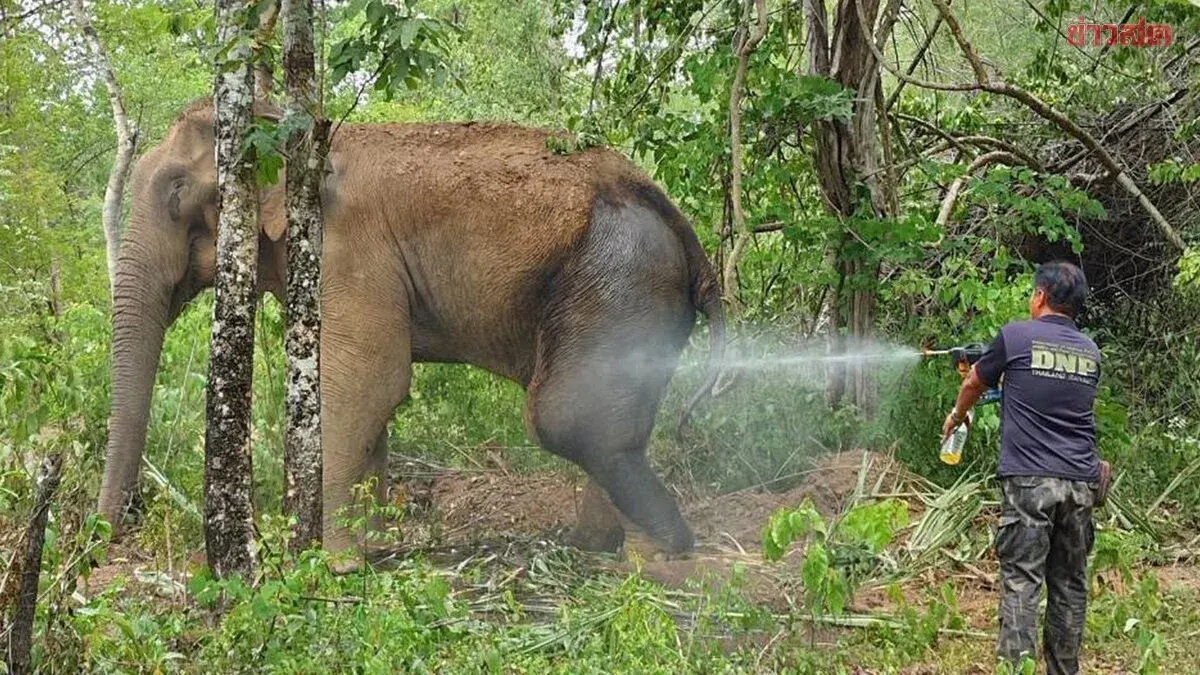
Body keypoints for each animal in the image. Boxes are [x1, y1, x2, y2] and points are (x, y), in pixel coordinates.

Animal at [96, 97, 726, 557]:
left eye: (177, 191)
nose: (108, 540)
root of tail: (687, 233)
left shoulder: (350, 251)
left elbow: (368, 380)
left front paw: (330, 566)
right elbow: (367, 397)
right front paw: (373, 551)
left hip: (620, 278)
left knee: (568, 417)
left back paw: (657, 557)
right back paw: (598, 546)